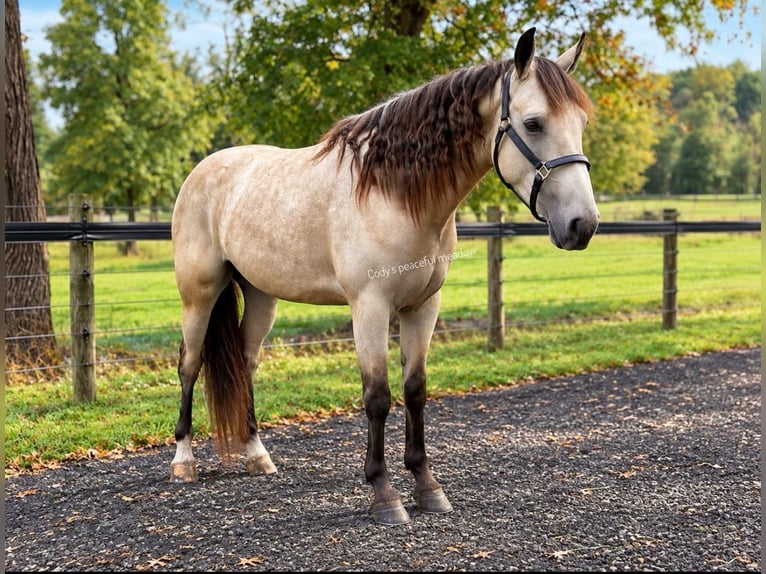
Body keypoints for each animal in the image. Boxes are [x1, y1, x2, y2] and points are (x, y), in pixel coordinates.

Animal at [169, 27, 599, 526]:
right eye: (533, 124)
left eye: (580, 124)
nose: (582, 225)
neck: (392, 191)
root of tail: (203, 170)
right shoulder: (370, 308)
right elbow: (377, 396)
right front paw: (384, 494)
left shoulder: (423, 307)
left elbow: (415, 391)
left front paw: (427, 487)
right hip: (198, 294)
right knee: (189, 365)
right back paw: (183, 461)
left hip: (261, 296)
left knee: (245, 361)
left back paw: (257, 455)